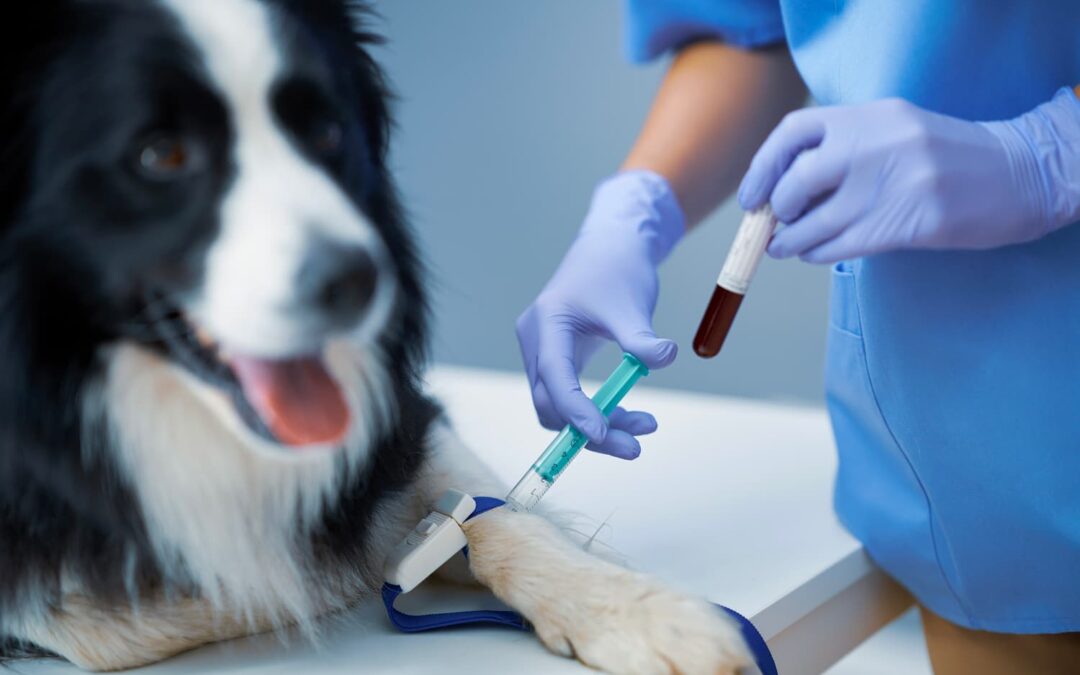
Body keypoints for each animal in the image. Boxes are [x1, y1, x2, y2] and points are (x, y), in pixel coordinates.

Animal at [0, 2, 756, 669]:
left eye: (326, 134)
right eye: (160, 155)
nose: (361, 279)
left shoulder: (406, 423)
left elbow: (495, 513)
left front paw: (646, 615)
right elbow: (113, 621)